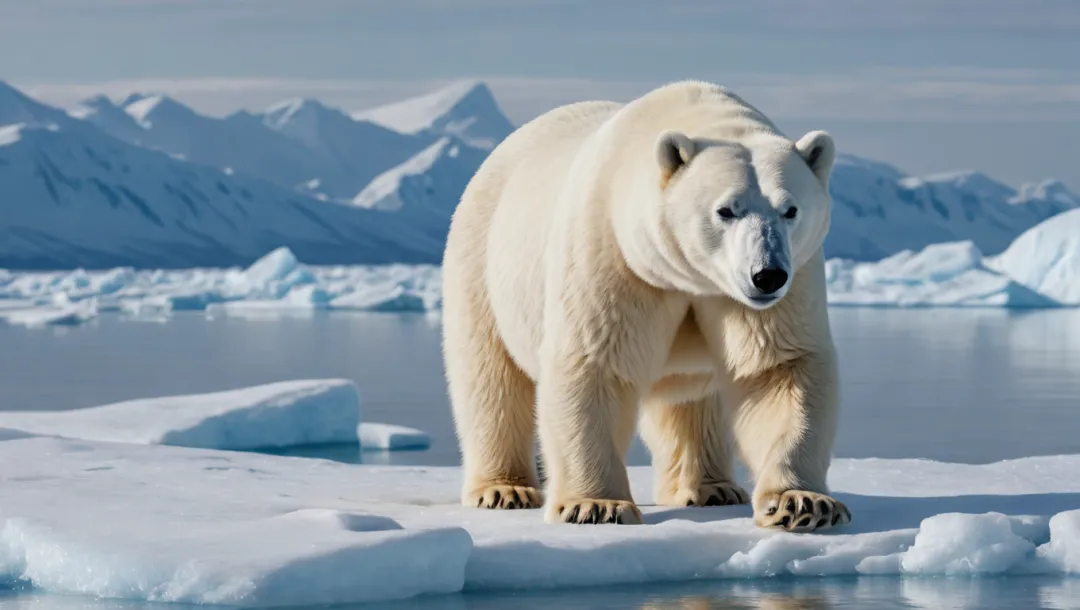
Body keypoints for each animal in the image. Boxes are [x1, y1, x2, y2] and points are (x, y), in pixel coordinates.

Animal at [442, 79, 846, 529]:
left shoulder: (779, 283)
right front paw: (595, 505)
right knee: (490, 378)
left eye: (790, 209)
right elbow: (594, 362)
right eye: (725, 209)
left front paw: (802, 503)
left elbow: (778, 369)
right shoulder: (614, 256)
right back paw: (503, 489)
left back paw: (711, 488)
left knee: (689, 401)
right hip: (481, 262)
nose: (768, 274)